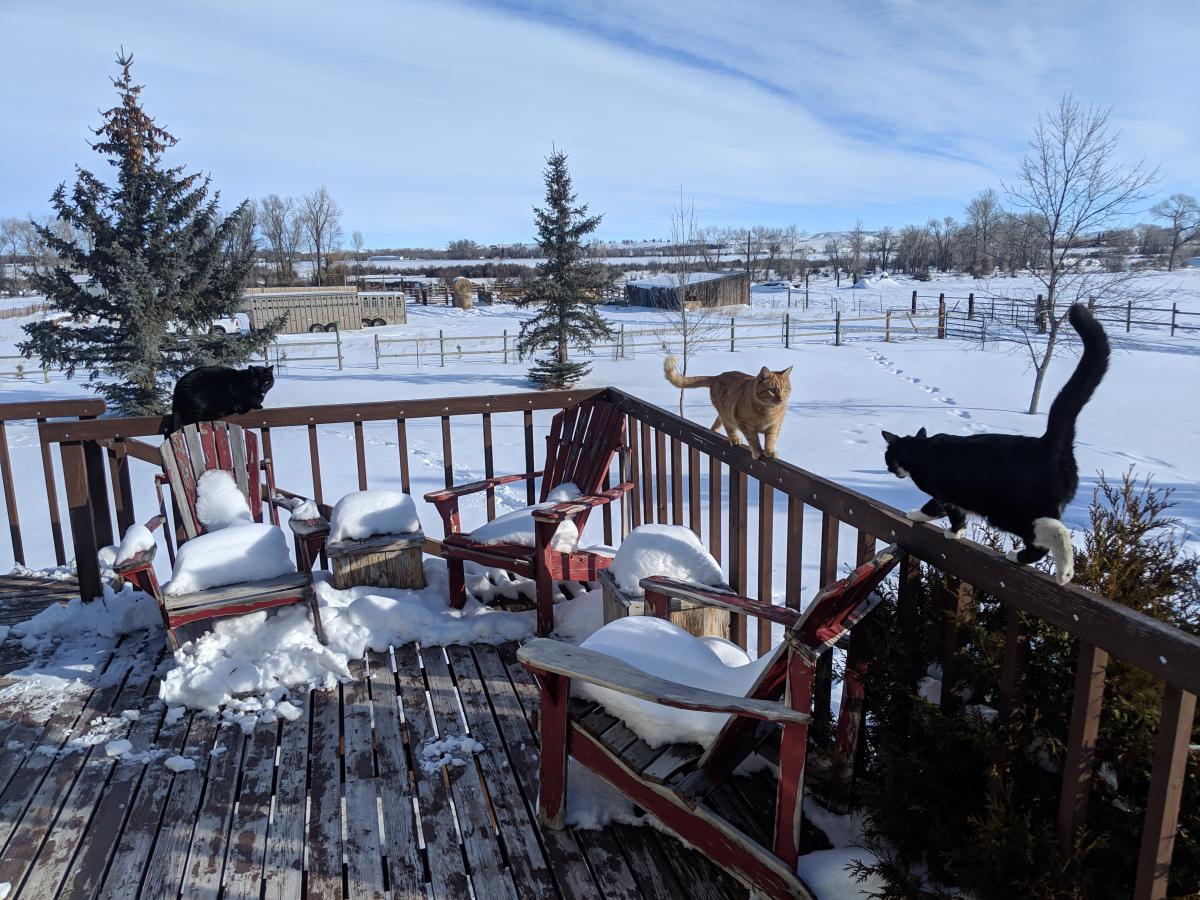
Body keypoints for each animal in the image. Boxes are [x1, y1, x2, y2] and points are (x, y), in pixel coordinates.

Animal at [662, 355, 792, 460]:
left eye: (785, 390)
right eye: (772, 390)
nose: (781, 399)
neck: (768, 411)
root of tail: (718, 376)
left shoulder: (775, 426)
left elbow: (771, 439)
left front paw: (769, 451)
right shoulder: (745, 424)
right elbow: (753, 439)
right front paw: (757, 451)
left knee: (715, 426)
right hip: (727, 415)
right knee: (728, 427)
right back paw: (735, 439)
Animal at [883, 303, 1104, 585]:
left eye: (888, 458)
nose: (889, 470)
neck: (920, 449)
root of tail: (1048, 443)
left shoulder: (945, 495)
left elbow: (944, 512)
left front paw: (947, 530)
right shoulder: (948, 498)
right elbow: (940, 511)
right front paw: (932, 522)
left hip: (1008, 510)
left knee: (1053, 533)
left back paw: (1060, 571)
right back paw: (1024, 559)